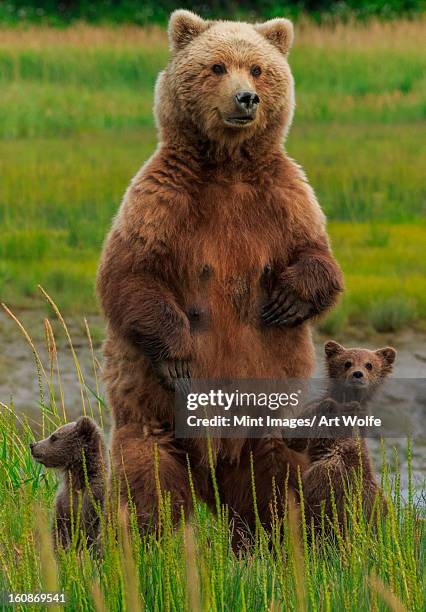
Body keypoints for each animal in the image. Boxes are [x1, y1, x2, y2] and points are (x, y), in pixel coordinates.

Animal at [96, 11, 342, 532]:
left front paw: (286, 299)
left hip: (266, 418)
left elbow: (318, 257)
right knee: (148, 475)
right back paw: (154, 538)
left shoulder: (285, 198)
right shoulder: (161, 199)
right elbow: (130, 275)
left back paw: (276, 536)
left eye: (257, 69)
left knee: (275, 480)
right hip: (152, 414)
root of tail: (211, 468)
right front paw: (178, 355)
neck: (227, 166)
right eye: (216, 66)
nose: (245, 98)